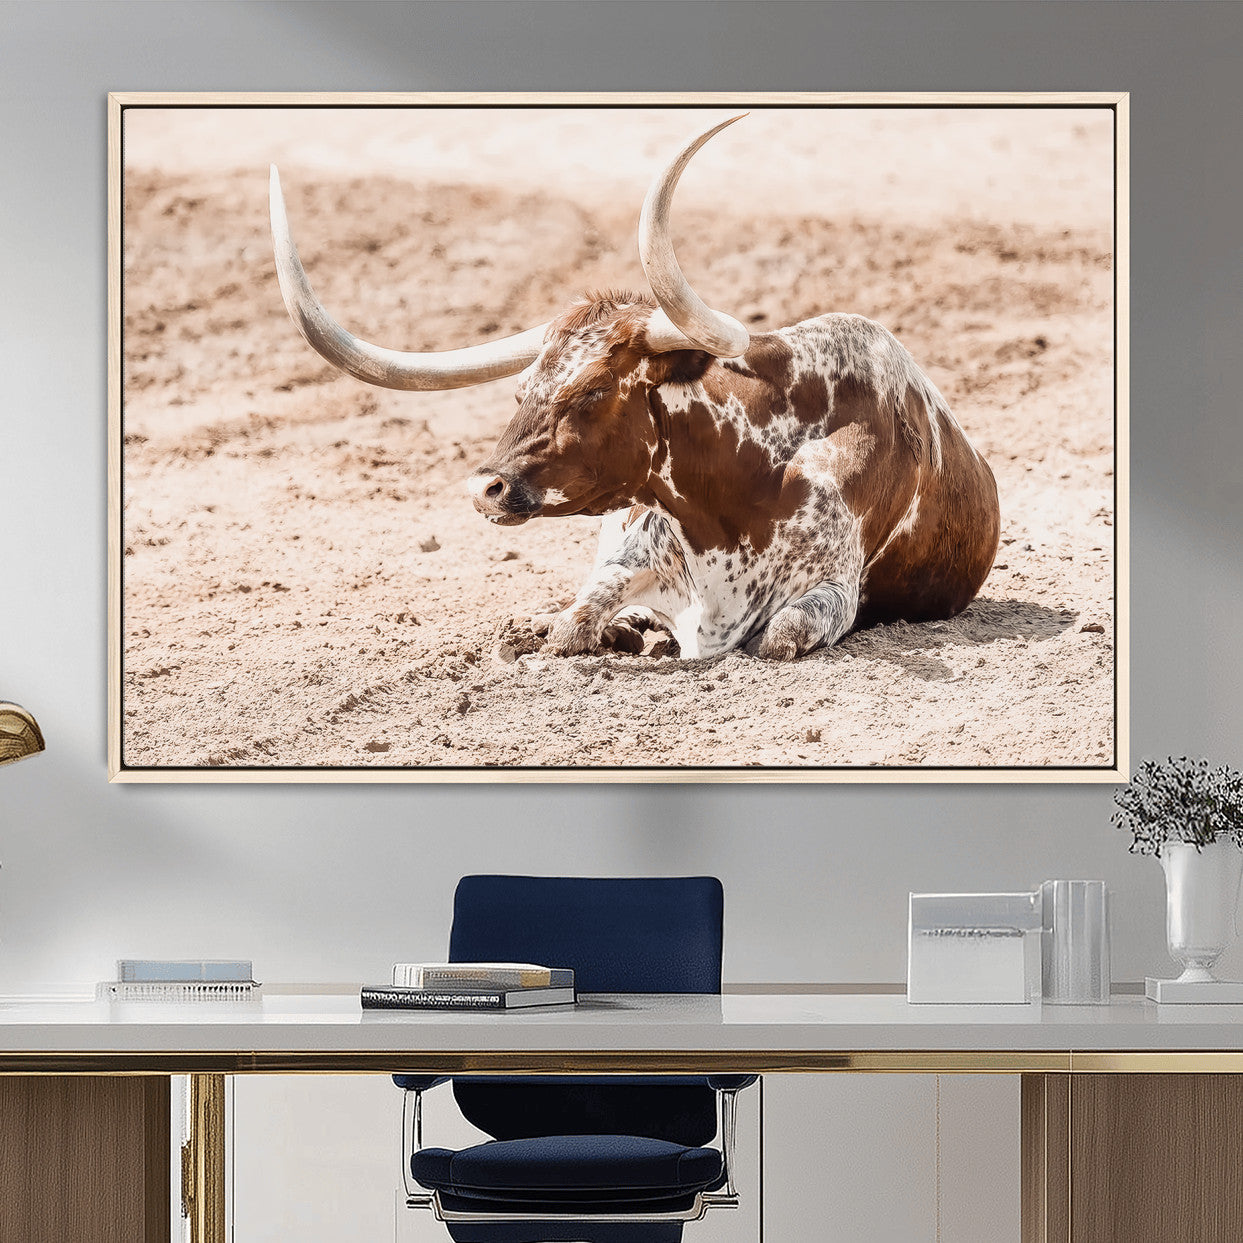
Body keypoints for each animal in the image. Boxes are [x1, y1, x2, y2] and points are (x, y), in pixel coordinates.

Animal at [269, 116, 1000, 661]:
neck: (739, 490)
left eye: (593, 391)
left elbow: (776, 636)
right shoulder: (628, 553)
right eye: (521, 389)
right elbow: (570, 622)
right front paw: (589, 630)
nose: (487, 488)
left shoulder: (831, 591)